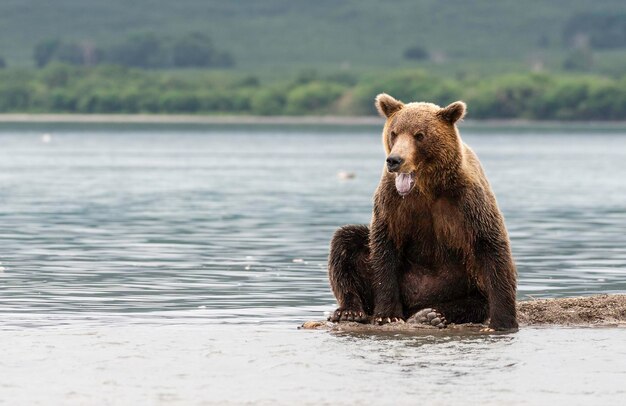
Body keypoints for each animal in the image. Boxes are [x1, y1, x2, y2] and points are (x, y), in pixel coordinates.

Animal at [326, 93, 516, 332]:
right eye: (394, 133)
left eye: (419, 135)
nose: (395, 160)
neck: (425, 186)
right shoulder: (392, 202)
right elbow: (384, 249)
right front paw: (387, 315)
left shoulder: (468, 200)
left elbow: (491, 244)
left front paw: (501, 322)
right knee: (345, 242)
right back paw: (350, 310)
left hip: (466, 282)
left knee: (474, 302)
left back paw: (432, 314)